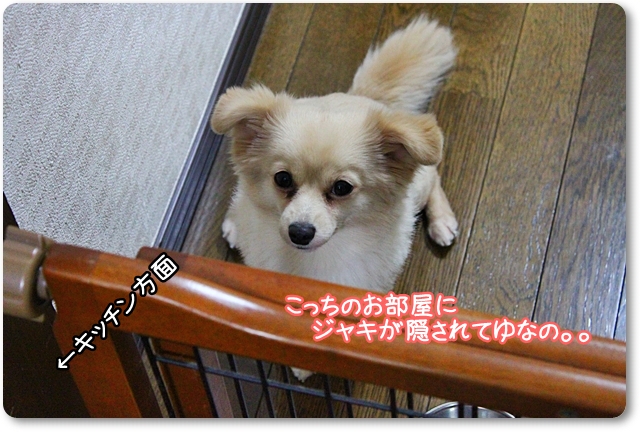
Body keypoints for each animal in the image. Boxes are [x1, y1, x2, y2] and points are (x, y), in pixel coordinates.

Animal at [210, 16, 458, 377]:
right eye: (282, 179)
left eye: (342, 187)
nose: (300, 232)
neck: (319, 260)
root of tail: (362, 97)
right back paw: (233, 225)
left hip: (423, 181)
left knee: (436, 175)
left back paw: (442, 223)